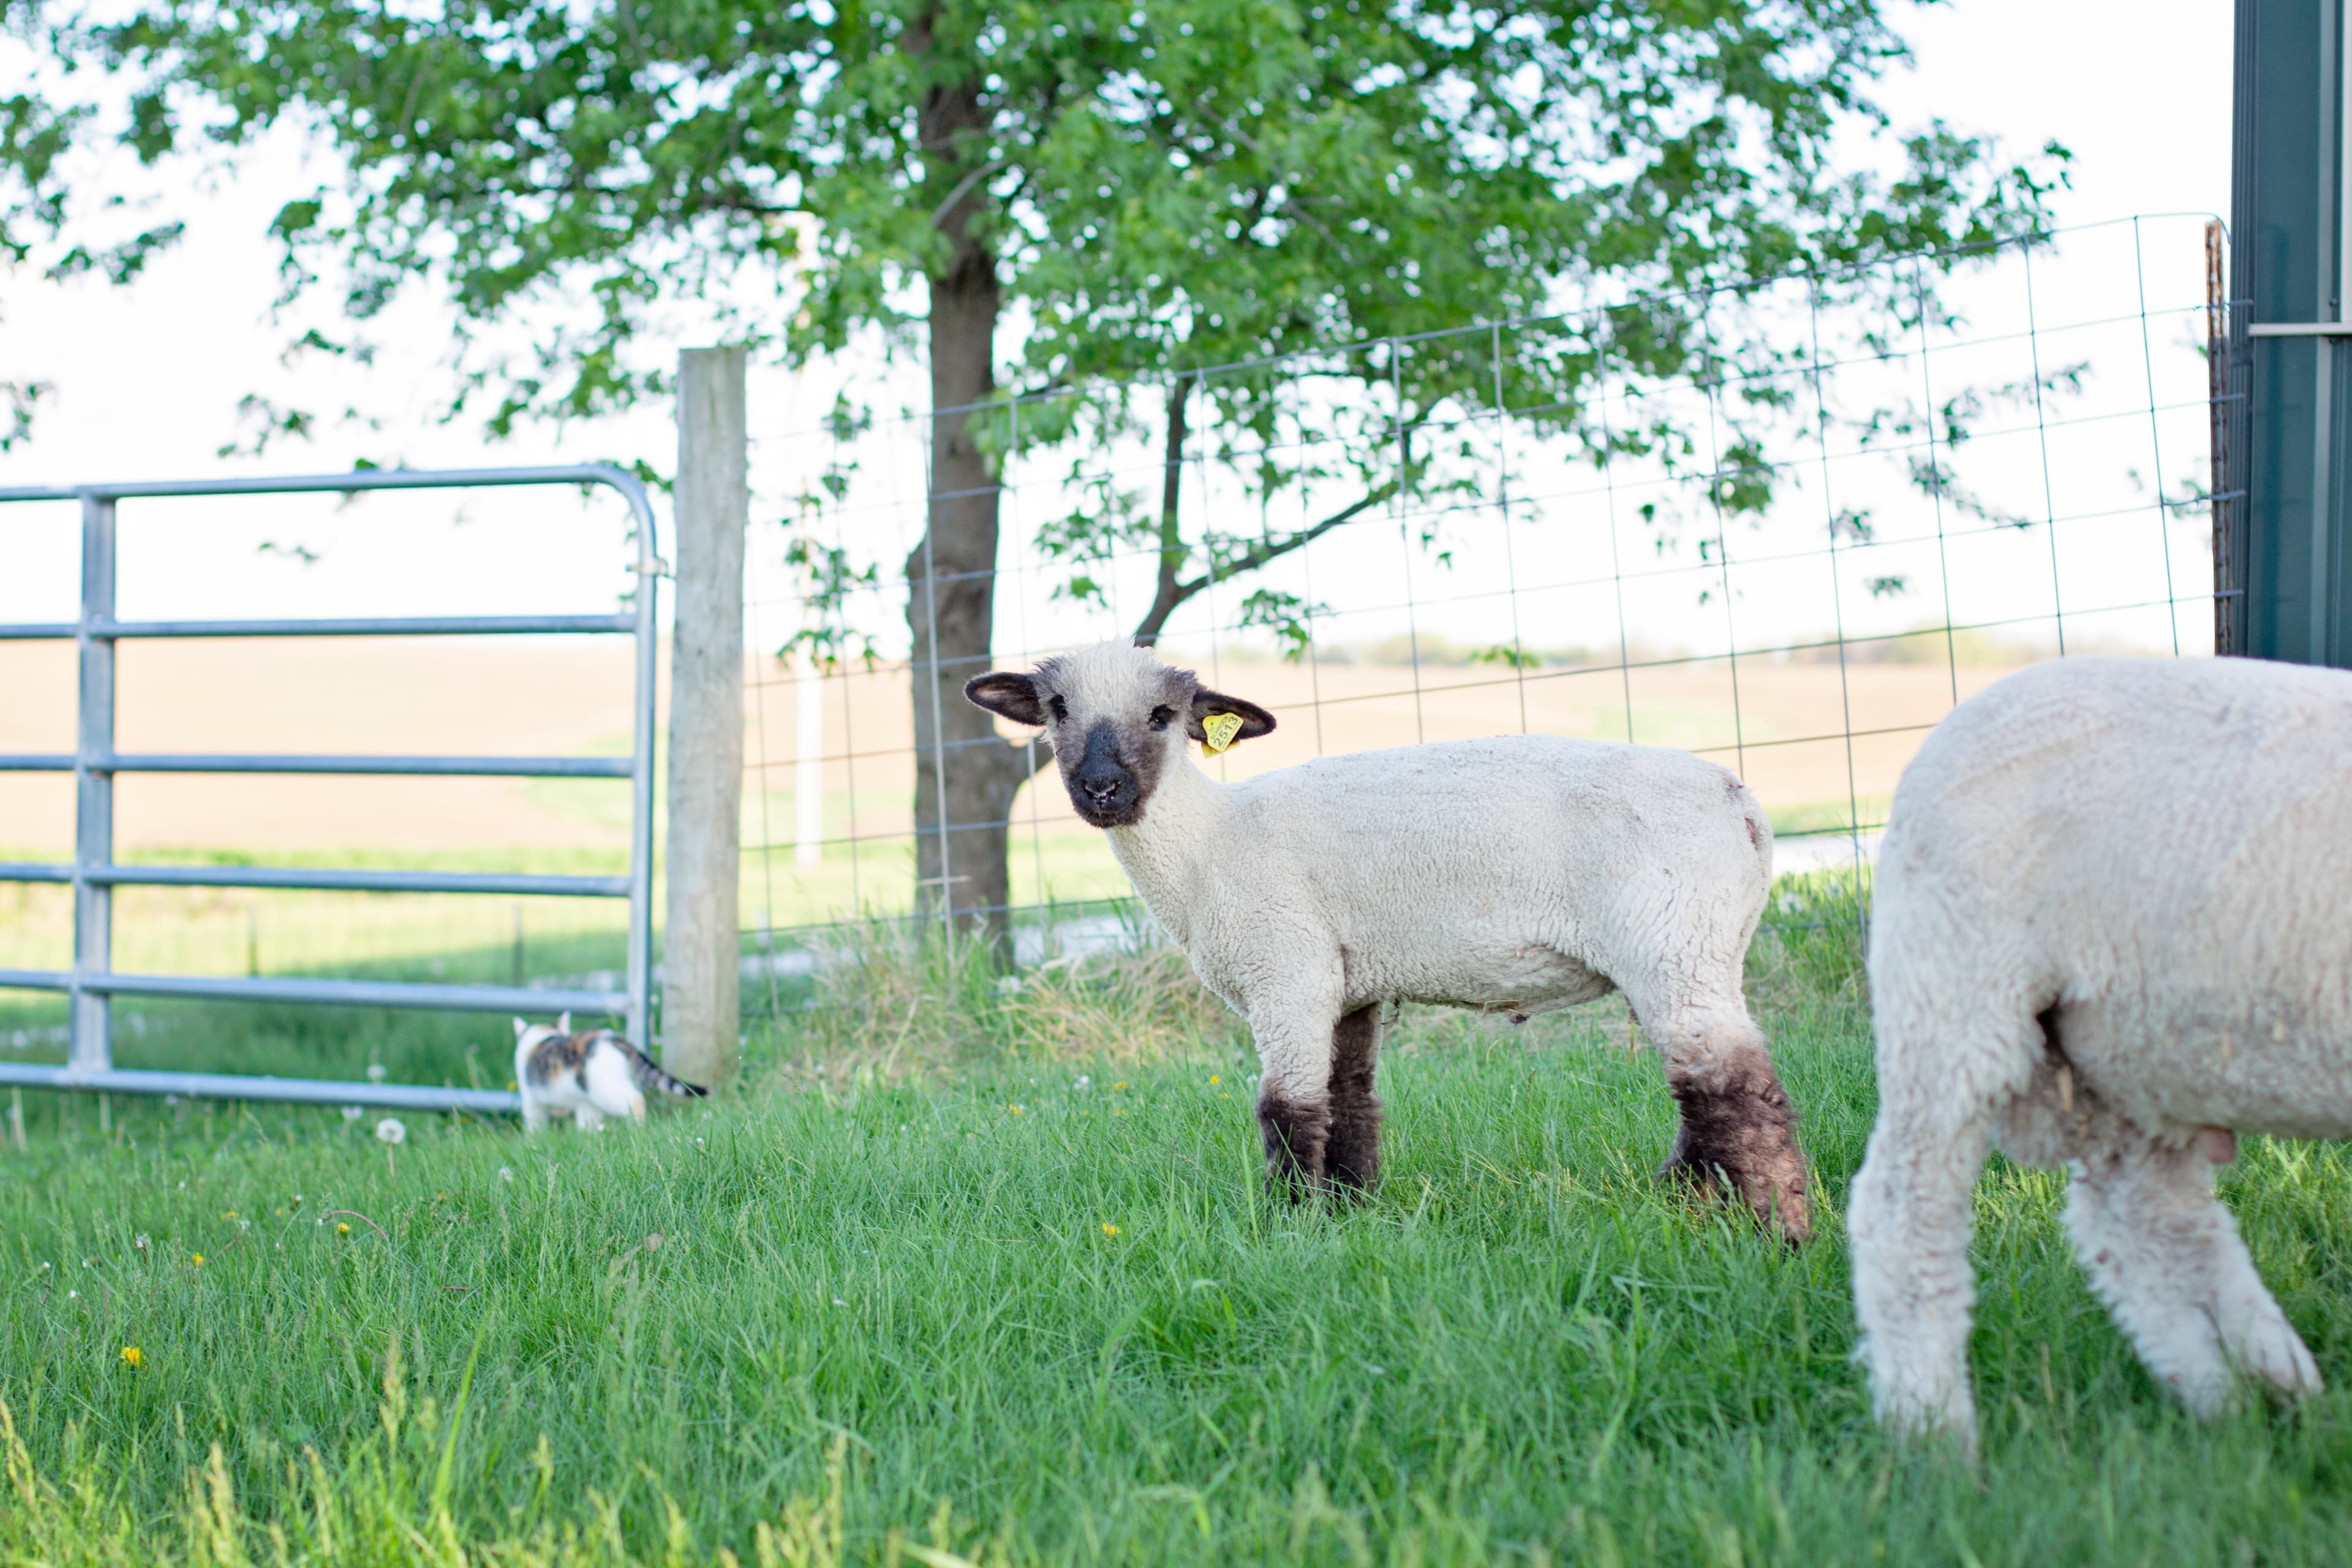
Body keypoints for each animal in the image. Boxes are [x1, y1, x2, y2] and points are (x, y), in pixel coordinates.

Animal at [965, 639, 1811, 1239]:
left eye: (1162, 716)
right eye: (1057, 708)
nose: (1102, 789)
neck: (1212, 845)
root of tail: (1746, 806)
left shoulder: (1288, 972)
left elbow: (1288, 1109)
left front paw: (1292, 1227)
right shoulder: (1345, 985)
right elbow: (1349, 1102)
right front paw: (1349, 1212)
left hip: (1675, 940)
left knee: (1738, 1090)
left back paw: (1778, 1235)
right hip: (1688, 952)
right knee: (1703, 1094)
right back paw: (1692, 1205)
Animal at [1850, 655, 2352, 1453]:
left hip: (2136, 1049)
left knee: (2144, 1222)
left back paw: (2245, 1398)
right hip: (1956, 988)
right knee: (1905, 1212)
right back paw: (1934, 1437)